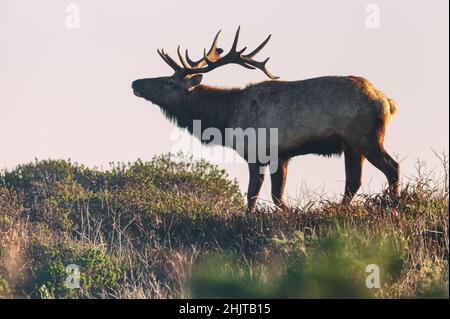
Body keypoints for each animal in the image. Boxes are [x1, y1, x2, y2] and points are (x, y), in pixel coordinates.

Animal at [132, 28, 400, 212]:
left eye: (169, 82)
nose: (135, 83)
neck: (225, 117)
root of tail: (387, 102)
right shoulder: (281, 155)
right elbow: (276, 195)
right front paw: (292, 212)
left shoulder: (256, 151)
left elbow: (254, 195)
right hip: (352, 146)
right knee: (353, 181)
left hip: (366, 137)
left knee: (392, 167)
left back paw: (394, 204)